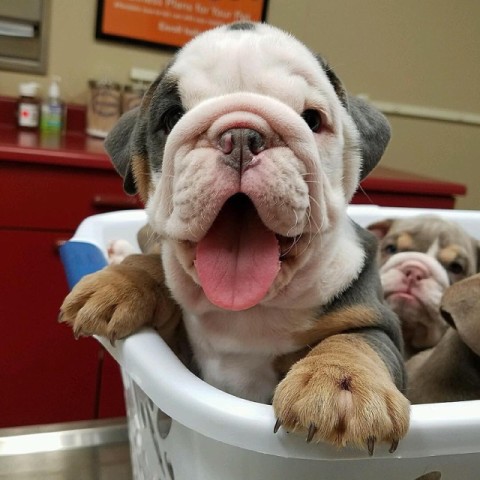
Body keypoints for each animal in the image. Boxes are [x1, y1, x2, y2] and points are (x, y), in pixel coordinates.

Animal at [59, 20, 408, 452]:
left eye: (312, 119)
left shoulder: (378, 320)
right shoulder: (179, 348)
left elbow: (358, 341)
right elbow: (155, 264)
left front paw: (342, 386)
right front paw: (119, 283)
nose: (241, 135)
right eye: (171, 117)